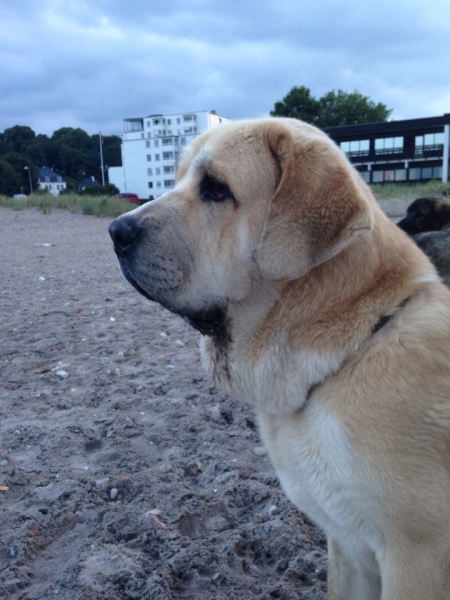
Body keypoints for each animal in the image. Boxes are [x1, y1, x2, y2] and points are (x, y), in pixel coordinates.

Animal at [108, 118, 450, 600]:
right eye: (174, 181)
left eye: (216, 189)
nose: (116, 232)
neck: (350, 349)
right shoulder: (348, 546)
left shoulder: (417, 559)